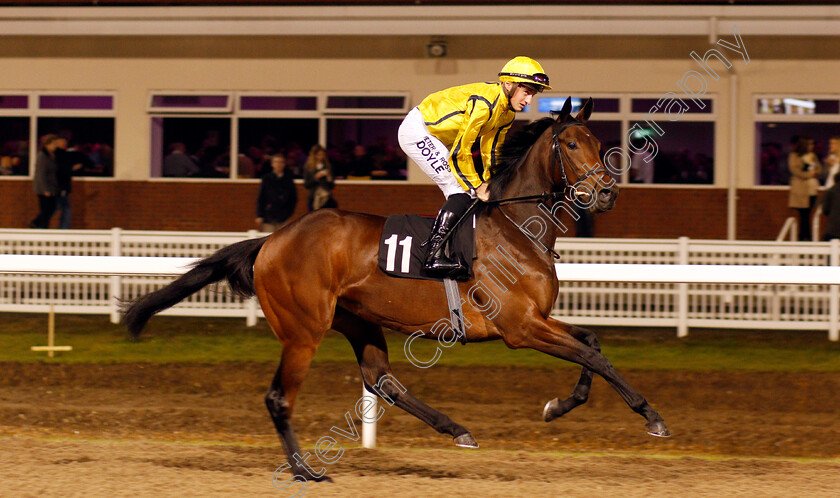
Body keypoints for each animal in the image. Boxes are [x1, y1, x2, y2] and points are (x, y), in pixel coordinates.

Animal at [123, 97, 668, 482]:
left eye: (597, 140)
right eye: (571, 145)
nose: (606, 192)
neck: (518, 228)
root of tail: (273, 240)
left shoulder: (538, 319)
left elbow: (592, 342)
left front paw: (558, 407)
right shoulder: (520, 328)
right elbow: (593, 355)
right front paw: (652, 416)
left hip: (358, 320)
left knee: (382, 380)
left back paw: (457, 430)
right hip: (304, 330)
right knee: (281, 397)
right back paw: (305, 471)